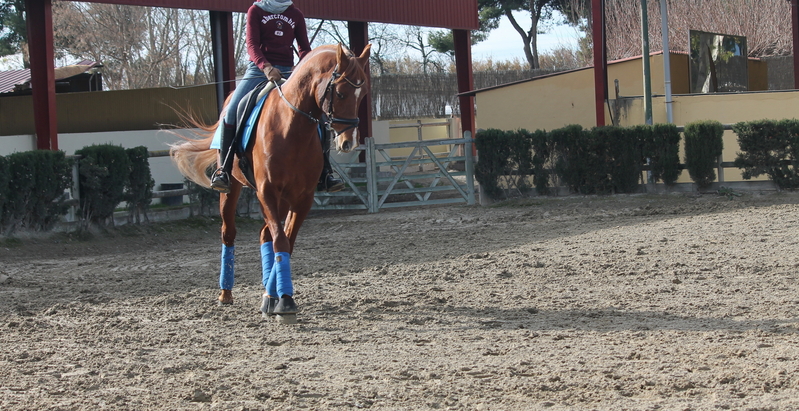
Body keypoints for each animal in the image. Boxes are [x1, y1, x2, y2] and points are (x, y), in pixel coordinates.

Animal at [170, 44, 371, 321]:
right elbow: (280, 240)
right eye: (341, 93)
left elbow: (287, 241)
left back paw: (269, 292)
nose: (348, 143)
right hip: (233, 189)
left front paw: (277, 297)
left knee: (265, 234)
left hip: (283, 199)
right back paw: (226, 294)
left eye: (363, 96)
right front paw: (285, 302)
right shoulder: (266, 191)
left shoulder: (303, 197)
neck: (292, 127)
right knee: (229, 233)